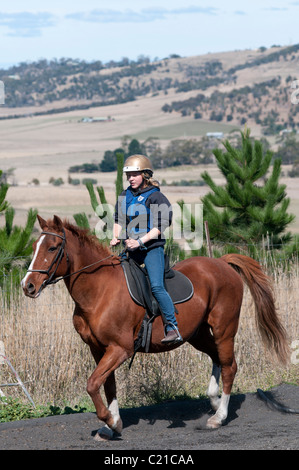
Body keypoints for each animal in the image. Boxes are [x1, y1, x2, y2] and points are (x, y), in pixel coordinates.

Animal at [22, 217, 290, 440]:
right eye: (35, 246)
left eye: (52, 248)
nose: (28, 286)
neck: (99, 291)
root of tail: (221, 262)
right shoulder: (99, 350)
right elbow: (107, 385)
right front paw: (112, 426)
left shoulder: (120, 349)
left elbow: (92, 383)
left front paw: (110, 421)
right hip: (197, 334)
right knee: (217, 359)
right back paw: (213, 400)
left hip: (224, 329)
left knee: (229, 366)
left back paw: (219, 416)